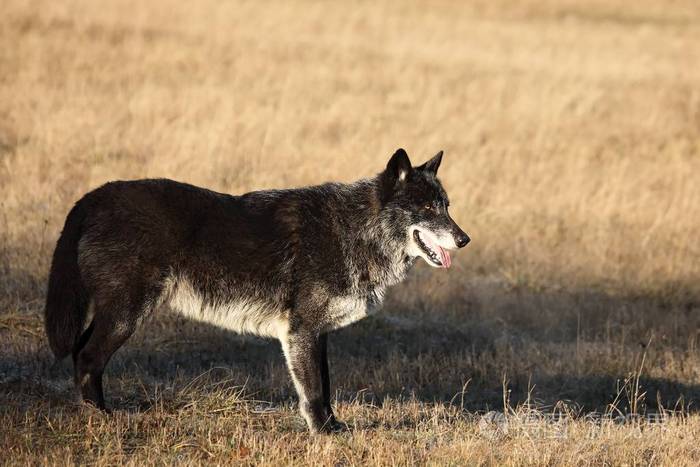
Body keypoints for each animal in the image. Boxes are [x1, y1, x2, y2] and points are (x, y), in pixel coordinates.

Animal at [43, 150, 470, 436]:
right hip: (126, 314)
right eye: (428, 209)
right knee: (88, 356)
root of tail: (94, 197)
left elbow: (326, 385)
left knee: (81, 352)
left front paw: (334, 427)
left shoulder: (316, 335)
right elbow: (314, 391)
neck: (354, 230)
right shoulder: (300, 333)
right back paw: (100, 418)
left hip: (116, 313)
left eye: (447, 207)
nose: (464, 239)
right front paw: (323, 434)